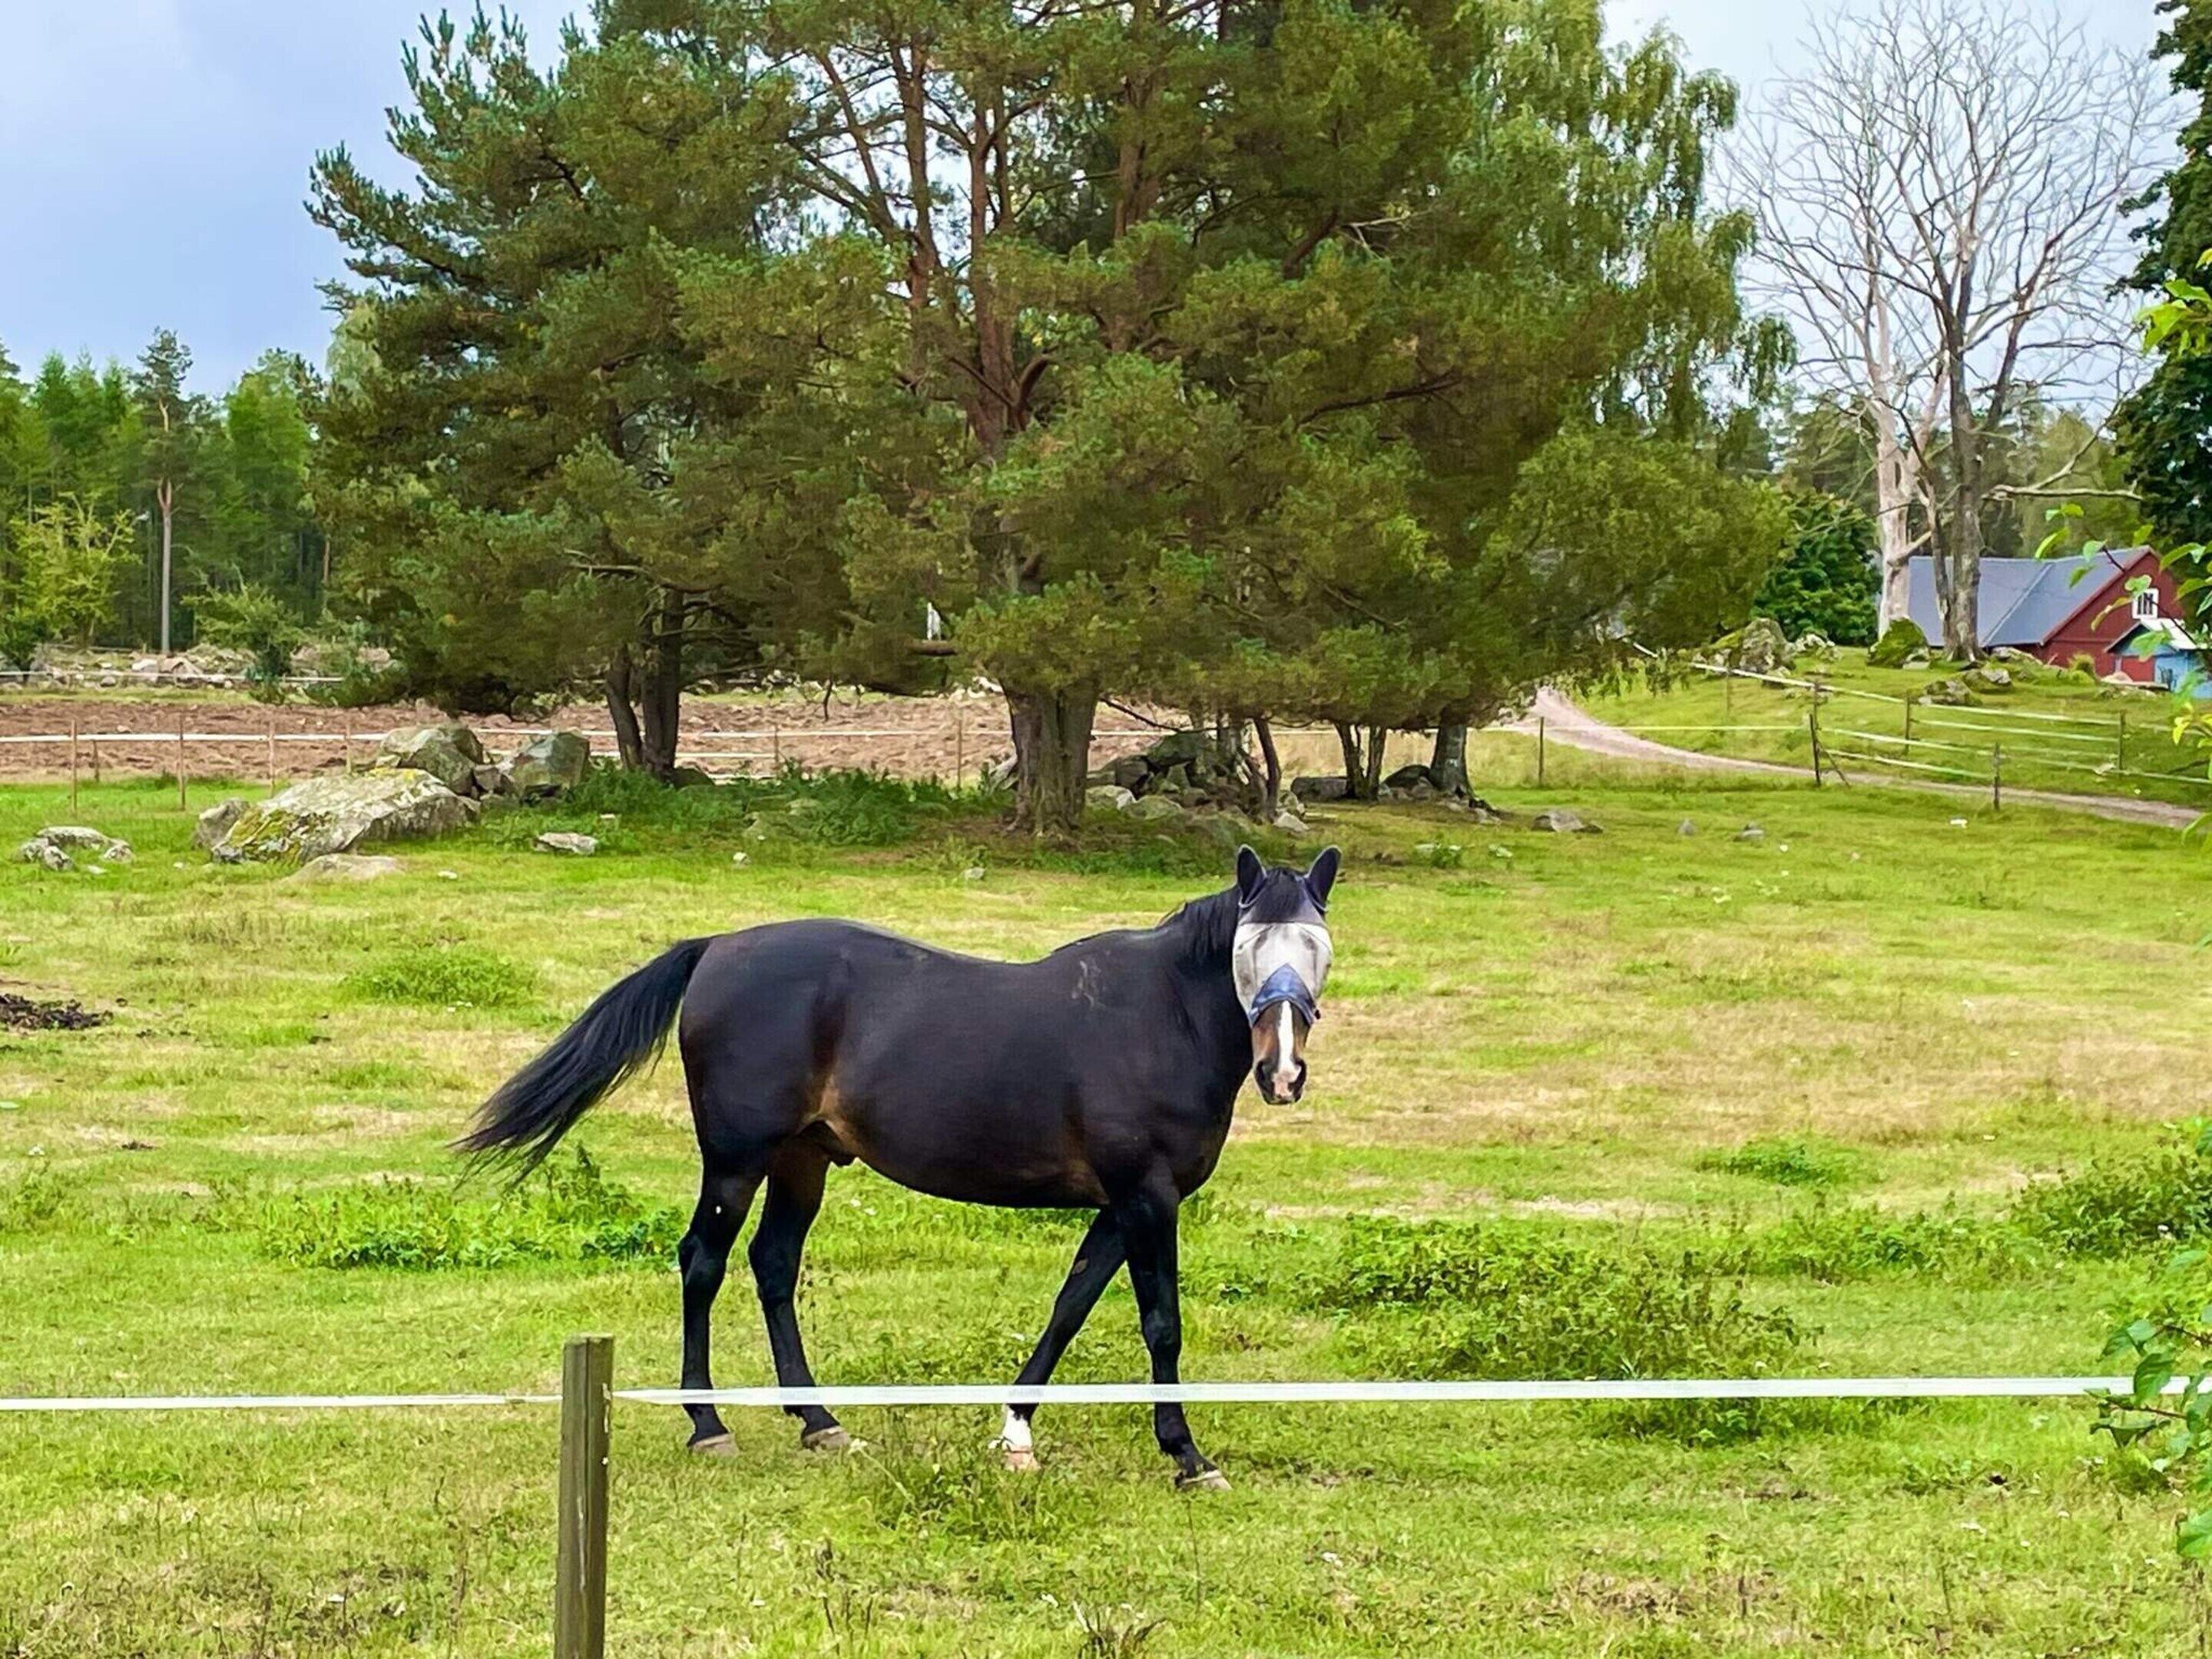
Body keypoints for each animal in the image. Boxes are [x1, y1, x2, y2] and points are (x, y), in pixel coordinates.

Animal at [461, 844, 1339, 1488]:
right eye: (1248, 950)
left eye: (1320, 950)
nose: (1283, 1072)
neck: (1158, 1017)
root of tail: (716, 951)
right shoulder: (1147, 1196)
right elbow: (1161, 1325)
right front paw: (1188, 1456)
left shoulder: (1122, 1204)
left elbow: (1070, 1305)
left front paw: (1016, 1432)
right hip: (737, 1161)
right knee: (703, 1263)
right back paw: (708, 1425)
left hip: (804, 1160)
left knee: (773, 1265)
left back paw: (820, 1423)